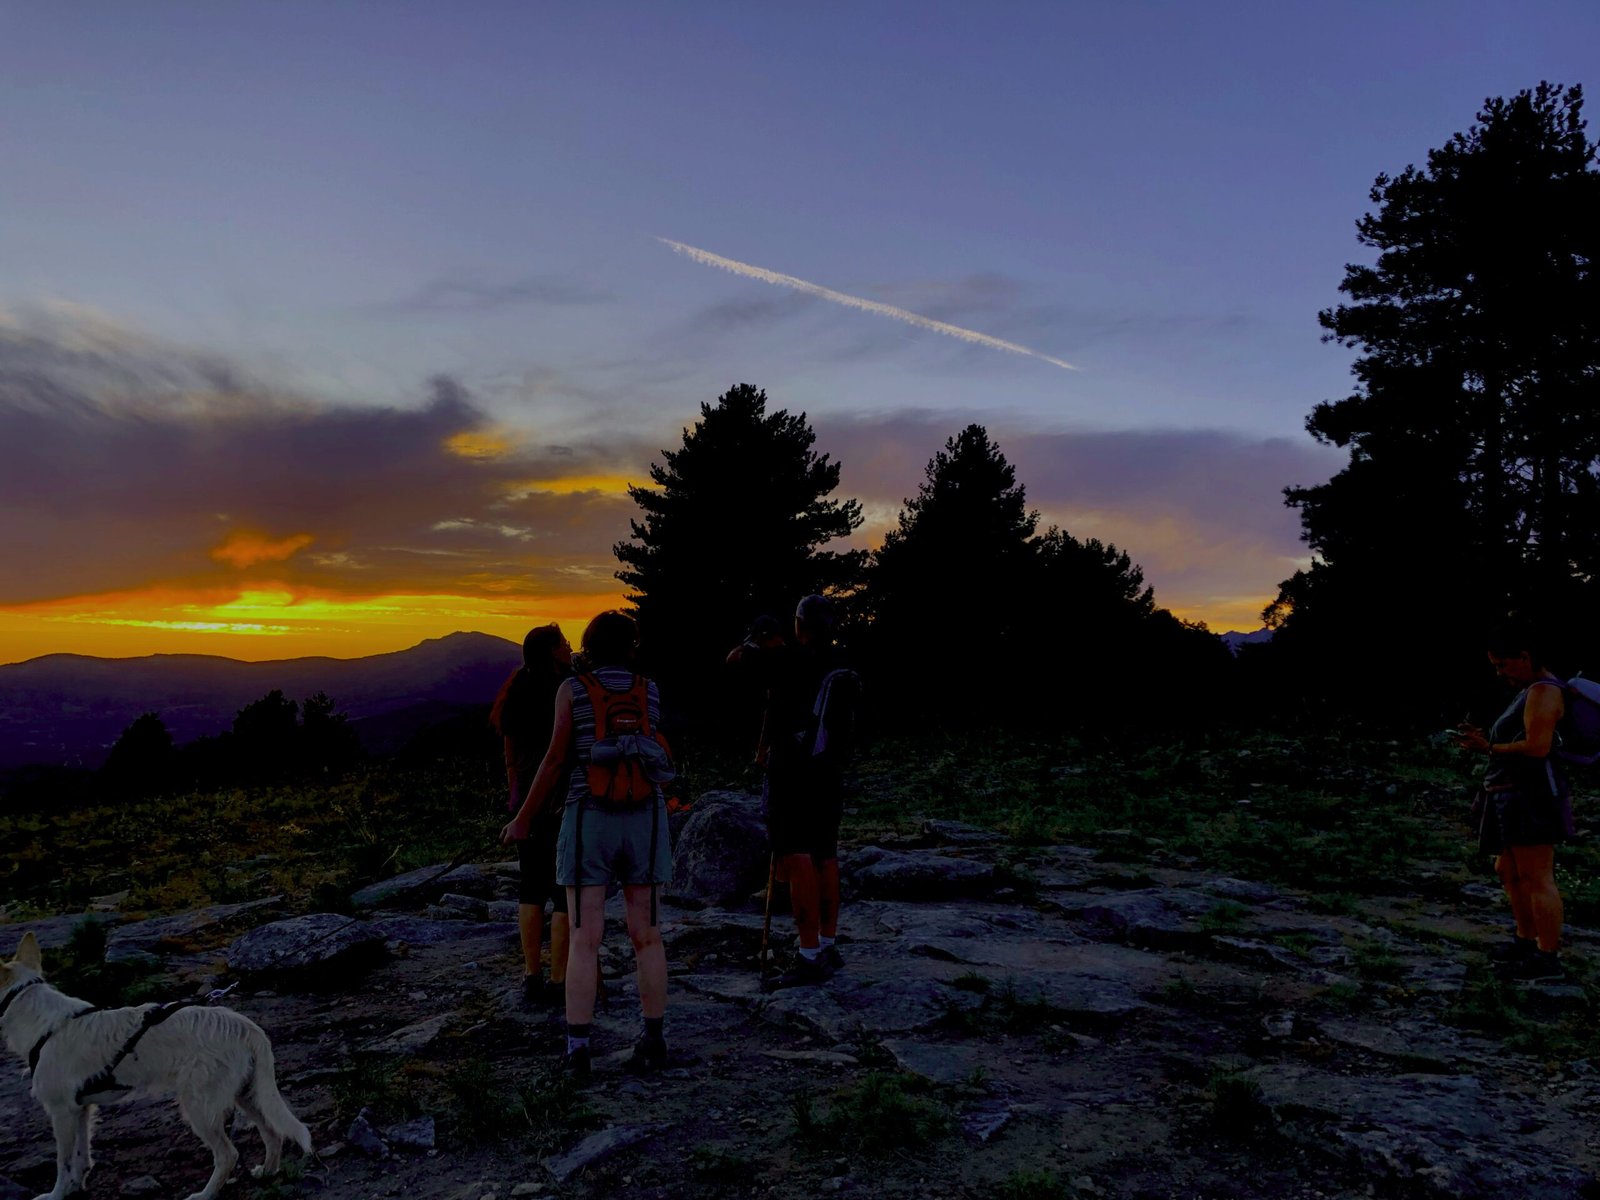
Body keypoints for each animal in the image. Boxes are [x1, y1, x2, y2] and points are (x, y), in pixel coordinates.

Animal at [0, 934, 308, 1200]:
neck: (43, 1023)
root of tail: (246, 1027)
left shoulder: (61, 1110)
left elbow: (62, 1163)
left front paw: (57, 1195)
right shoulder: (81, 1108)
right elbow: (80, 1157)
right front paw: (76, 1186)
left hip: (199, 1106)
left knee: (228, 1154)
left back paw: (205, 1195)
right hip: (247, 1095)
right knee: (273, 1133)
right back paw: (267, 1172)